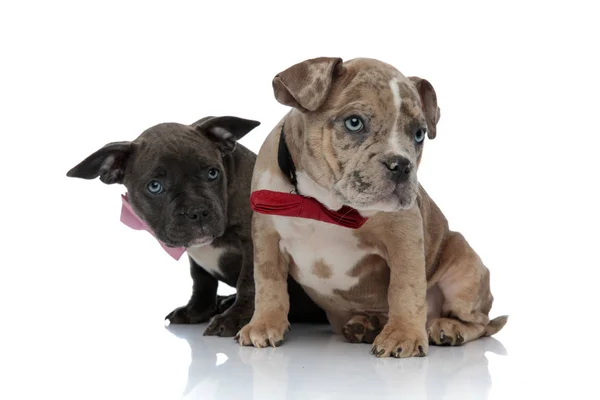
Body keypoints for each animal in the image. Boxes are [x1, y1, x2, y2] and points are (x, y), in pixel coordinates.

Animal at [67, 116, 326, 338]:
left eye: (213, 173)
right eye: (155, 186)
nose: (197, 211)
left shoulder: (253, 242)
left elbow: (249, 282)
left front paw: (233, 319)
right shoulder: (197, 259)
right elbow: (201, 280)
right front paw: (197, 310)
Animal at [237, 58, 508, 356]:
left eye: (419, 134)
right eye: (354, 123)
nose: (401, 165)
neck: (323, 203)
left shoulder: (403, 235)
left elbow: (405, 286)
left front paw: (403, 335)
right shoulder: (267, 237)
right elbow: (269, 283)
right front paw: (263, 324)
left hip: (464, 268)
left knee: (479, 323)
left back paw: (447, 328)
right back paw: (366, 326)